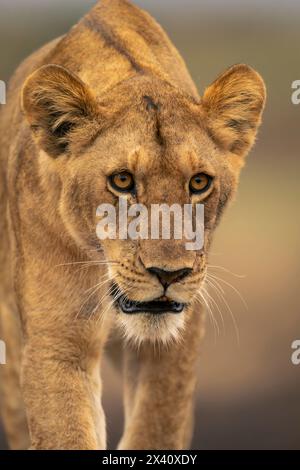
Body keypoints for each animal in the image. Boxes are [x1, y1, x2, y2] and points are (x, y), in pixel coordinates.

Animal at [0, 0, 266, 450]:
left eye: (199, 183)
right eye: (122, 181)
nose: (169, 274)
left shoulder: (174, 346)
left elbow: (157, 428)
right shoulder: (57, 342)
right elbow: (65, 429)